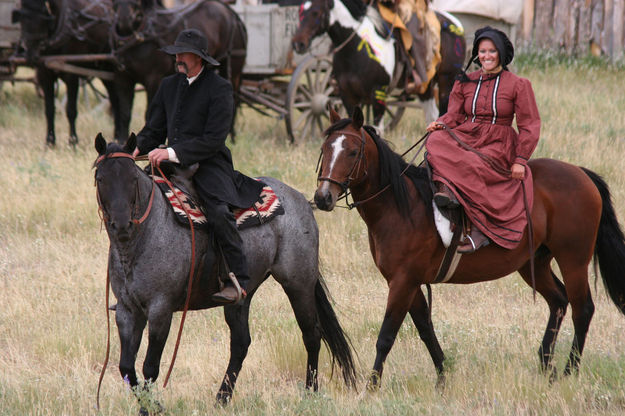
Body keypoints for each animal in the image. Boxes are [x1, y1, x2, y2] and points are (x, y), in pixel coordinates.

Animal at [11, 0, 123, 146]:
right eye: (21, 17)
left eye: (44, 15)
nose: (30, 55)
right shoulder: (45, 75)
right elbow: (49, 109)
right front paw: (50, 142)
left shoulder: (72, 75)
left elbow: (71, 110)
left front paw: (73, 141)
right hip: (104, 71)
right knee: (115, 100)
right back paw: (117, 136)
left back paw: (119, 136)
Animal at [93, 132, 356, 410]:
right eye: (101, 179)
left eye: (132, 178)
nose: (122, 225)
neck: (143, 238)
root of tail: (302, 201)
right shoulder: (127, 310)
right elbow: (126, 366)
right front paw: (149, 405)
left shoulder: (160, 310)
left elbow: (150, 367)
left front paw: (151, 408)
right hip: (242, 295)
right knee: (241, 343)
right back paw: (222, 398)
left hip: (299, 283)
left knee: (311, 334)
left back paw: (310, 392)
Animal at [109, 0, 246, 140]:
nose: (125, 19)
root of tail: (230, 12)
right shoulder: (122, 78)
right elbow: (125, 114)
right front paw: (122, 141)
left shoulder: (153, 79)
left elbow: (148, 115)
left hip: (232, 70)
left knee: (233, 102)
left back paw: (231, 138)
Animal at [292, 0, 464, 127]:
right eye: (300, 13)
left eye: (315, 12)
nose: (298, 44)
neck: (356, 49)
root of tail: (455, 23)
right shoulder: (347, 95)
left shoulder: (378, 93)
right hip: (425, 87)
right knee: (431, 115)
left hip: (447, 81)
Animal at [314, 107, 624, 390]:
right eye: (325, 148)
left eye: (353, 152)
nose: (322, 197)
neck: (401, 205)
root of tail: (581, 173)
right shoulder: (408, 282)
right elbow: (425, 328)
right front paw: (442, 377)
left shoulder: (403, 282)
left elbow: (386, 335)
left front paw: (372, 386)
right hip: (533, 263)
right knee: (559, 301)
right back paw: (547, 365)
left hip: (574, 260)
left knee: (582, 308)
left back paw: (570, 371)